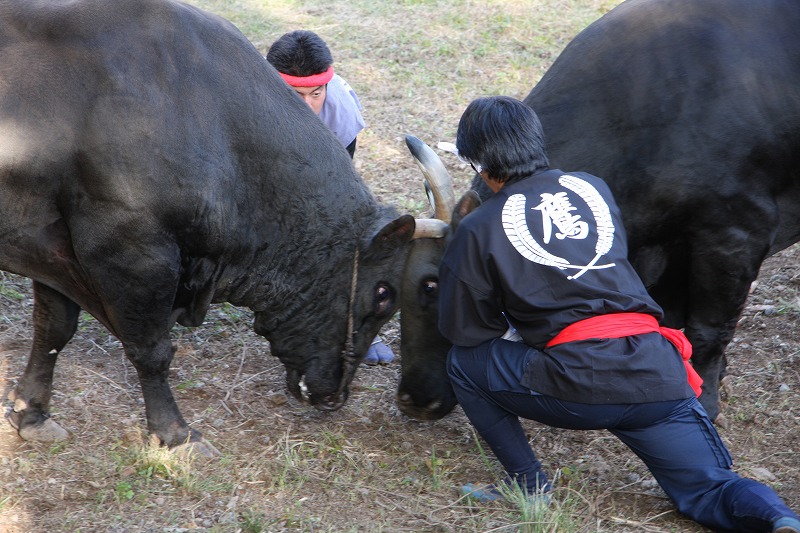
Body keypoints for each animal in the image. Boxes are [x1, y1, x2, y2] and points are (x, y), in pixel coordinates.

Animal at [0, 0, 424, 454]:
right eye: (384, 294)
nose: (337, 396)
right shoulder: (128, 253)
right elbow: (151, 350)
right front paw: (176, 433)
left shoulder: (54, 245)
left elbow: (53, 329)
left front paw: (32, 412)